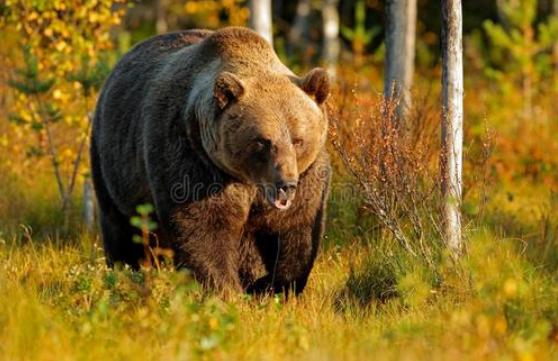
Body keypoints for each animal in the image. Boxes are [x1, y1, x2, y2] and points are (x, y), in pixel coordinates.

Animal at [89, 26, 330, 294]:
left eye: (298, 140)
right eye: (263, 141)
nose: (285, 184)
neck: (246, 178)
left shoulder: (307, 173)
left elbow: (295, 227)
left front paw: (271, 285)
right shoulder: (192, 157)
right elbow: (205, 228)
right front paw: (226, 289)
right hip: (112, 162)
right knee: (123, 228)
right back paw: (127, 271)